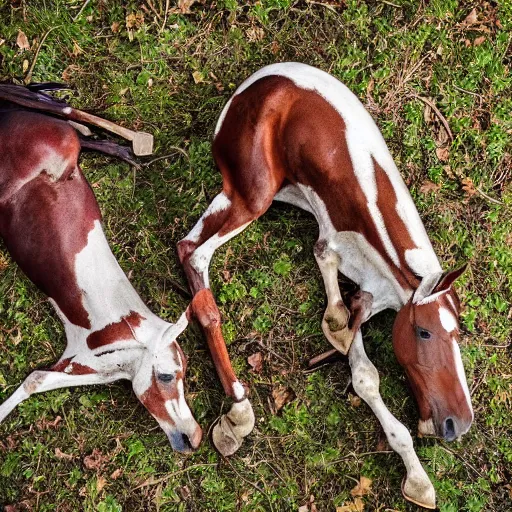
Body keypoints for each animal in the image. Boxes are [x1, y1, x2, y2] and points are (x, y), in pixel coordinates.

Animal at [0, 86, 202, 454]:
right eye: (167, 375)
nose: (193, 438)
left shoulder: (85, 362)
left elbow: (35, 380)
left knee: (59, 114)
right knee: (44, 104)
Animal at [178, 63, 474, 508]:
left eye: (459, 334)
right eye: (424, 332)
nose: (460, 422)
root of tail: (254, 84)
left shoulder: (371, 295)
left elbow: (359, 360)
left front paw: (418, 477)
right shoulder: (338, 244)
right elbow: (358, 357)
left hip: (259, 194)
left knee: (188, 248)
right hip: (254, 195)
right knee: (196, 256)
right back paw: (239, 410)